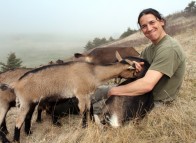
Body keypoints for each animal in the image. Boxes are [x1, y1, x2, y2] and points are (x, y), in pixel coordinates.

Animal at [6, 51, 136, 142]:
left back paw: (29, 132)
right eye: (132, 69)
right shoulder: (80, 94)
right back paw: (16, 139)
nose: (136, 75)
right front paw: (84, 126)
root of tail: (16, 83)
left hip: (31, 102)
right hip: (25, 102)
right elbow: (84, 110)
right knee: (19, 120)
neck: (93, 72)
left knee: (27, 117)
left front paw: (92, 121)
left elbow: (90, 108)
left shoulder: (87, 94)